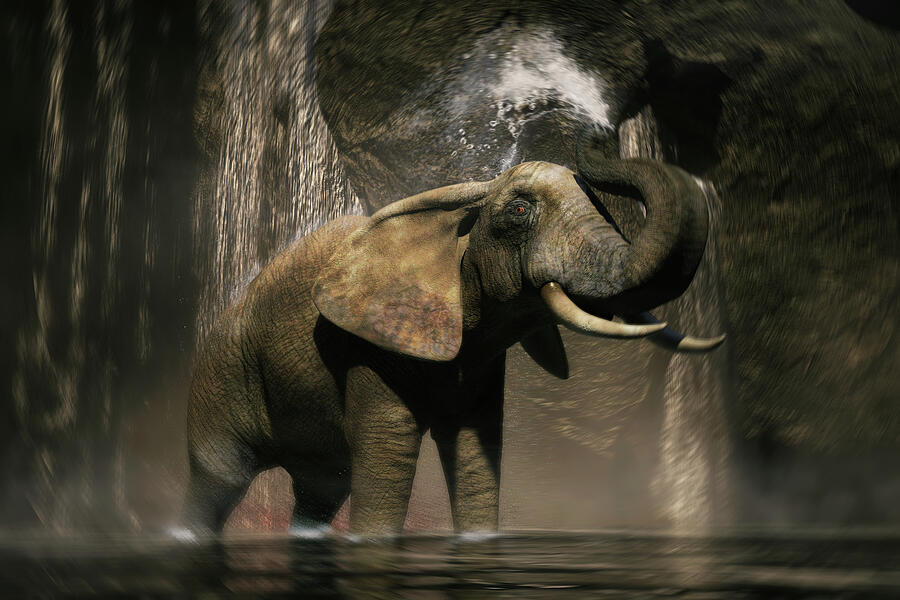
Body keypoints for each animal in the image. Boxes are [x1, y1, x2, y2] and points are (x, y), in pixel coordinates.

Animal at [182, 151, 724, 535]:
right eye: (520, 209)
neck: (466, 200)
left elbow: (474, 453)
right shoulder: (366, 341)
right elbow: (389, 452)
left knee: (320, 493)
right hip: (223, 372)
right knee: (219, 479)